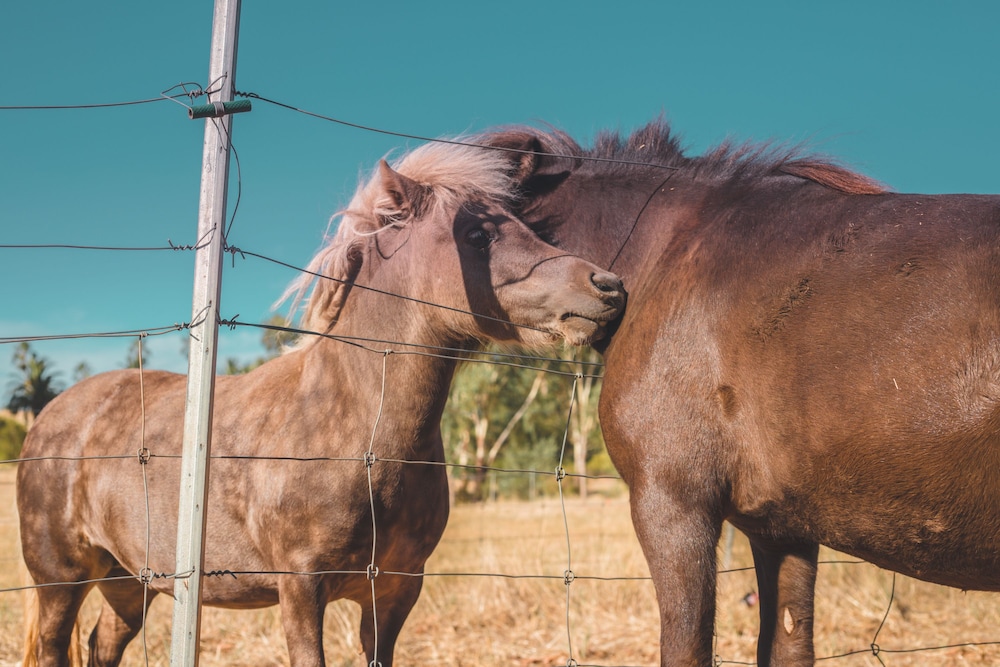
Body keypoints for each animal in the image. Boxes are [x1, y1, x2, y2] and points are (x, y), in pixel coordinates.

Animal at [15, 138, 624, 664]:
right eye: (477, 234)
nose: (609, 287)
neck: (358, 434)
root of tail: (48, 416)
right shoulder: (301, 590)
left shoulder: (396, 591)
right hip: (61, 578)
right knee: (54, 646)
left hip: (129, 580)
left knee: (103, 645)